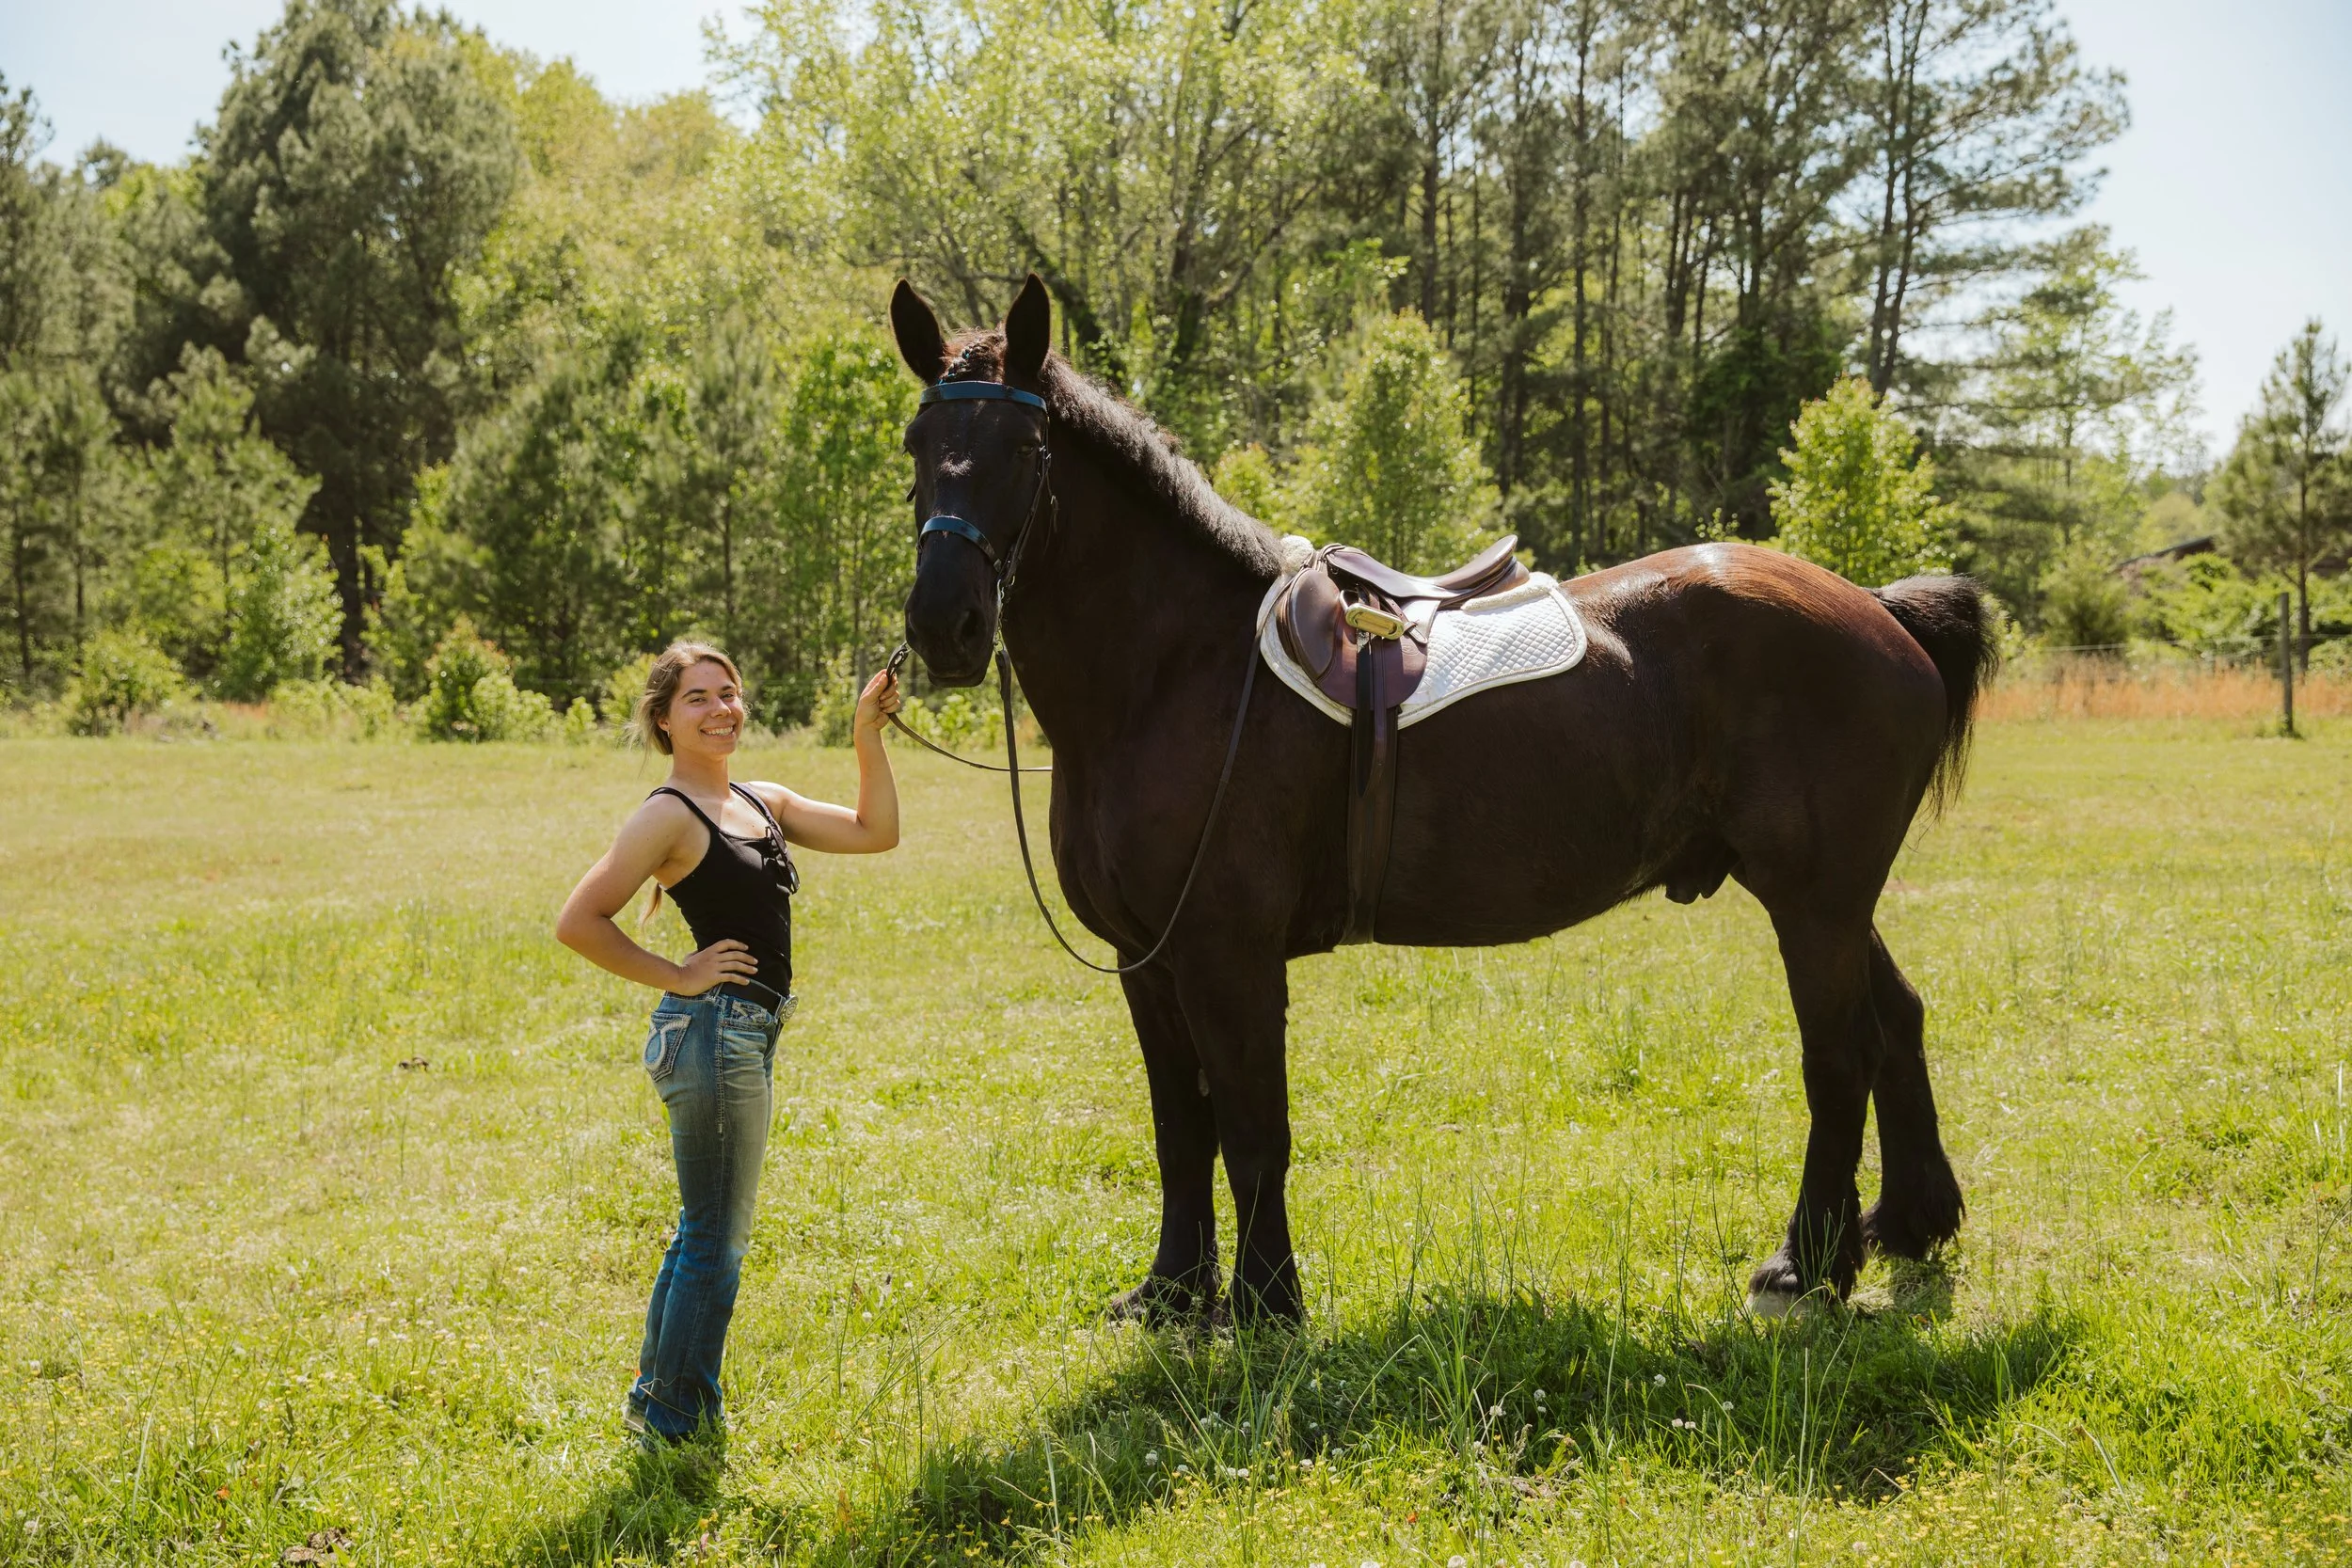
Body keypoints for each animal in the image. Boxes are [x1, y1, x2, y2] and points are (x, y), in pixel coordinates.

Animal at [891, 274, 1995, 1322]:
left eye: (1025, 445)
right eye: (919, 443)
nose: (945, 623)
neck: (1175, 671)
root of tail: (1880, 611)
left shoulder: (1226, 953)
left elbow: (1250, 1126)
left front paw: (1265, 1299)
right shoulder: (1146, 959)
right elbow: (1180, 1128)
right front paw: (1169, 1289)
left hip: (1813, 901)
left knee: (1838, 1055)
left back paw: (1806, 1264)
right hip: (1830, 900)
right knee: (1894, 1021)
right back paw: (1906, 1222)